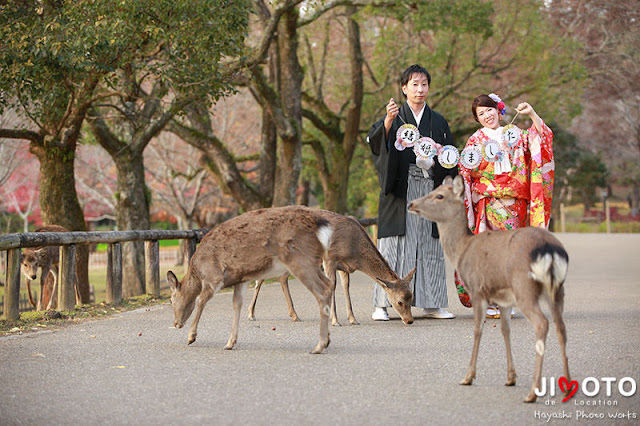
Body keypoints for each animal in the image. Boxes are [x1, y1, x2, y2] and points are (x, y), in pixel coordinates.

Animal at [248, 212, 418, 326]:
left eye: (411, 297)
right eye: (400, 301)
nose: (409, 320)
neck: (354, 249)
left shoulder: (345, 267)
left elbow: (346, 287)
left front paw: (353, 319)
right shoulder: (329, 259)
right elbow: (332, 286)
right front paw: (335, 320)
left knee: (282, 278)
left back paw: (294, 315)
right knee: (263, 277)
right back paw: (251, 314)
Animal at [408, 176, 572, 402]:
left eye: (439, 195)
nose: (411, 204)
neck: (461, 249)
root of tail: (550, 250)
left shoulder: (477, 290)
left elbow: (477, 330)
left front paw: (468, 377)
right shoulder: (503, 299)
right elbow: (505, 330)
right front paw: (511, 378)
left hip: (524, 287)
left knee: (542, 323)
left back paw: (532, 392)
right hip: (557, 289)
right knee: (561, 326)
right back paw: (567, 386)